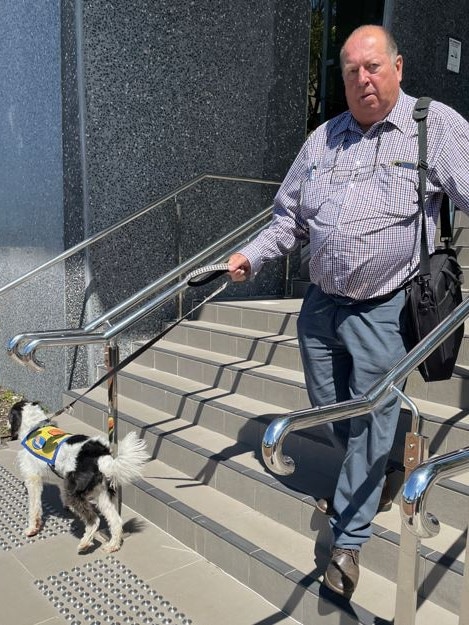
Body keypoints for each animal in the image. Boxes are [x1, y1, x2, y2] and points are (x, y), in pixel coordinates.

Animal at [8, 400, 149, 552]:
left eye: (9, 416)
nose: (6, 424)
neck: (33, 427)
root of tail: (99, 456)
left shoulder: (33, 479)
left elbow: (34, 508)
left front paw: (32, 528)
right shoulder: (61, 480)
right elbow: (61, 493)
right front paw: (66, 507)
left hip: (76, 493)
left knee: (94, 521)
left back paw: (85, 543)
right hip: (101, 493)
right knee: (116, 521)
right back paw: (112, 545)